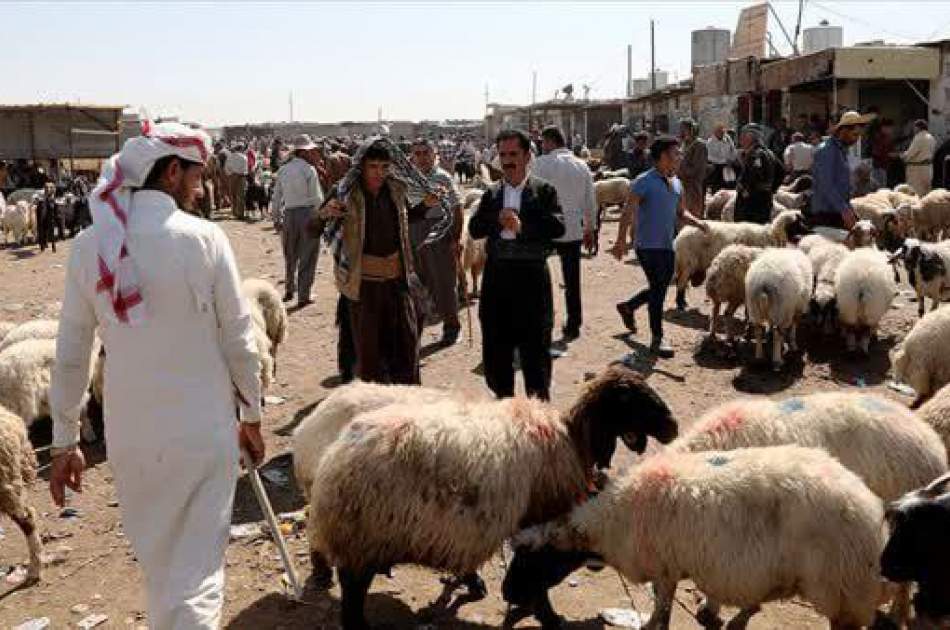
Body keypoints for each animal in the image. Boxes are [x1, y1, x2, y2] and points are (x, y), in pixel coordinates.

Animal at [298, 366, 676, 630]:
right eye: (636, 399)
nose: (672, 428)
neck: (571, 436)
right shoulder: (539, 521)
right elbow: (536, 576)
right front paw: (545, 615)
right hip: (361, 535)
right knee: (350, 594)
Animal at [506, 446, 892, 630]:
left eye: (531, 558)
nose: (507, 593)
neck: (610, 520)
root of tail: (874, 515)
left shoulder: (664, 566)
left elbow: (661, 609)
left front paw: (650, 625)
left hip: (843, 592)